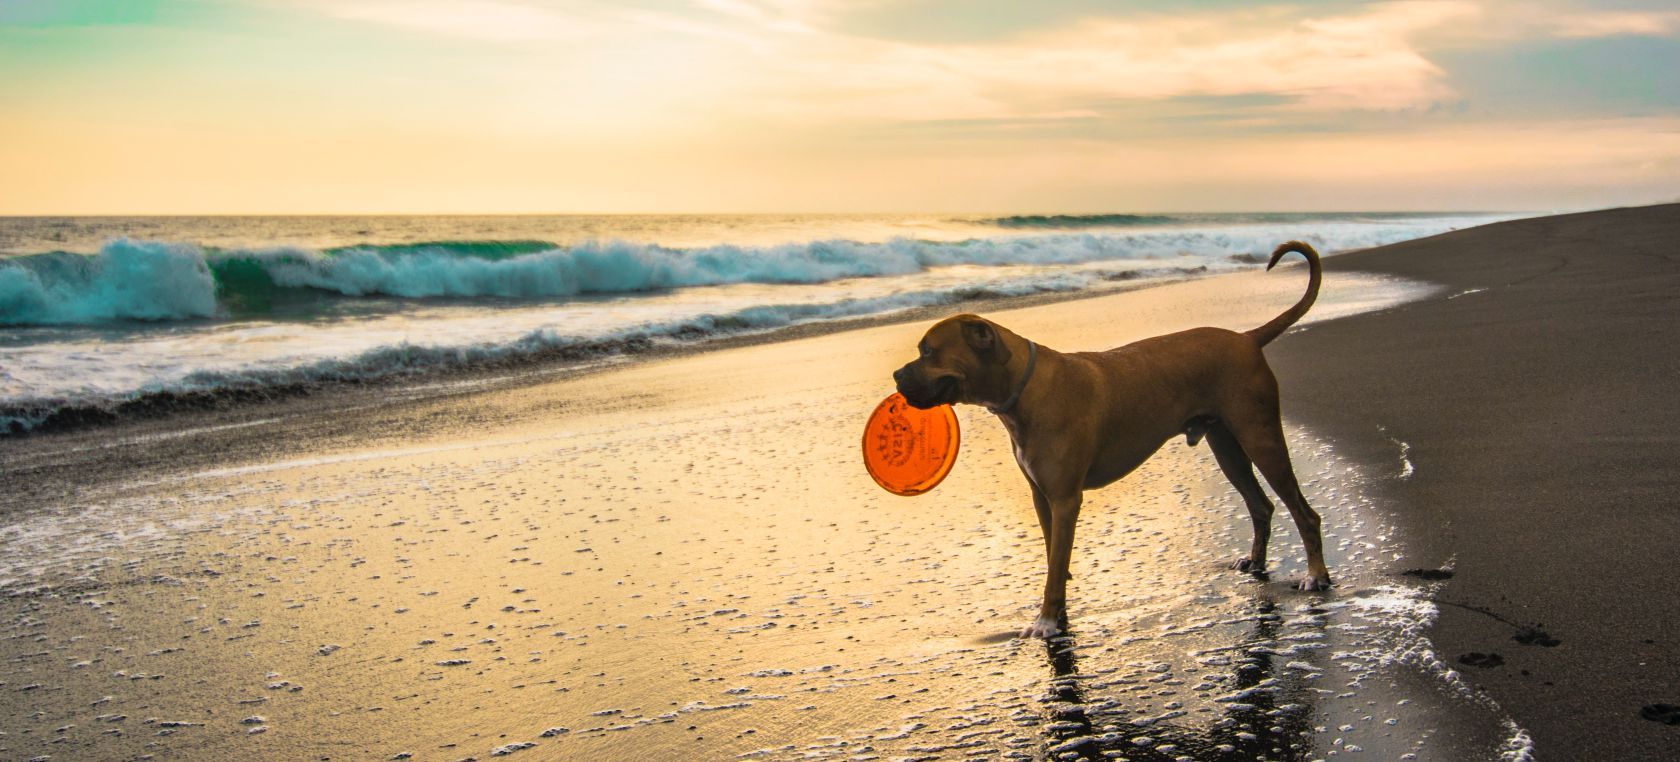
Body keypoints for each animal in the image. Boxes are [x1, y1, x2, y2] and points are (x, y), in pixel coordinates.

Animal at [900, 240, 1330, 637]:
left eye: (928, 352)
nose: (896, 376)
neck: (1024, 388)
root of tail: (1247, 338)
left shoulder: (1065, 500)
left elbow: (1055, 566)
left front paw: (1047, 620)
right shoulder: (1042, 498)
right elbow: (1054, 558)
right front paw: (1058, 610)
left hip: (1261, 437)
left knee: (1303, 512)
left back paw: (1316, 575)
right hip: (1227, 447)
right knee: (1261, 505)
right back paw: (1256, 561)